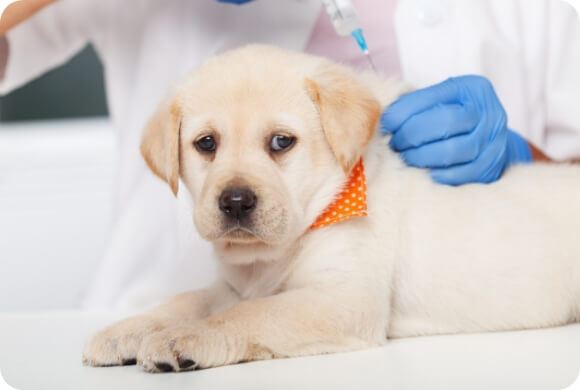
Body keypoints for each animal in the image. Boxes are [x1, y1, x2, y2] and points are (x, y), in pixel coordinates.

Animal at [81, 44, 580, 374]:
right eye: (206, 144)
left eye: (281, 142)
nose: (236, 201)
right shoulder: (237, 285)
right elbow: (189, 300)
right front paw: (128, 329)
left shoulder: (342, 300)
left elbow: (248, 315)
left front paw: (185, 337)